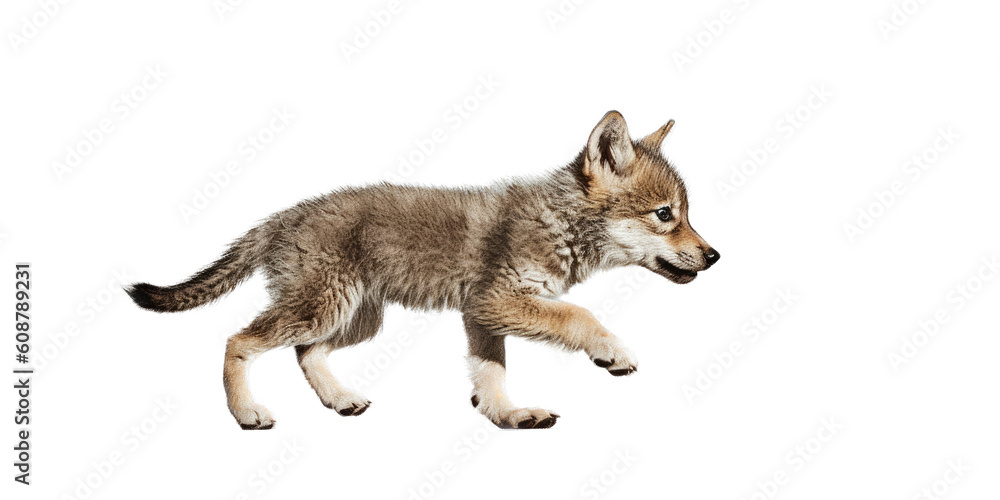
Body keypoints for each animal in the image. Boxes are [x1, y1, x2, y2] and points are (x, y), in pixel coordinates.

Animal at [127, 111, 720, 430]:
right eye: (665, 215)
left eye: (686, 214)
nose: (715, 256)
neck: (558, 221)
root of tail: (281, 217)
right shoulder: (497, 303)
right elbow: (580, 316)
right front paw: (612, 351)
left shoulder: (482, 317)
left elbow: (491, 376)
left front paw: (507, 416)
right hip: (323, 309)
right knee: (238, 341)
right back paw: (247, 412)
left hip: (357, 318)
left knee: (305, 353)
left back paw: (339, 399)